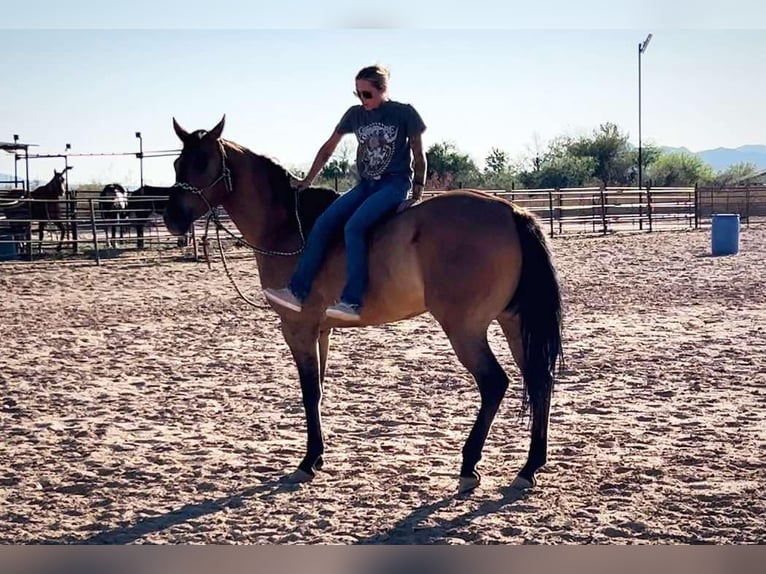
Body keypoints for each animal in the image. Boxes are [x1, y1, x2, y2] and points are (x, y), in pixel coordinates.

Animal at [162, 116, 563, 493]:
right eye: (177, 163)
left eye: (202, 162)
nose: (171, 219)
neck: (289, 226)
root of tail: (511, 212)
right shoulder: (320, 331)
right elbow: (319, 390)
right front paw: (318, 456)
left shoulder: (298, 328)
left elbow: (309, 392)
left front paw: (307, 461)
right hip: (513, 322)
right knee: (540, 380)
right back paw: (529, 467)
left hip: (465, 329)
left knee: (494, 383)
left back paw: (469, 467)